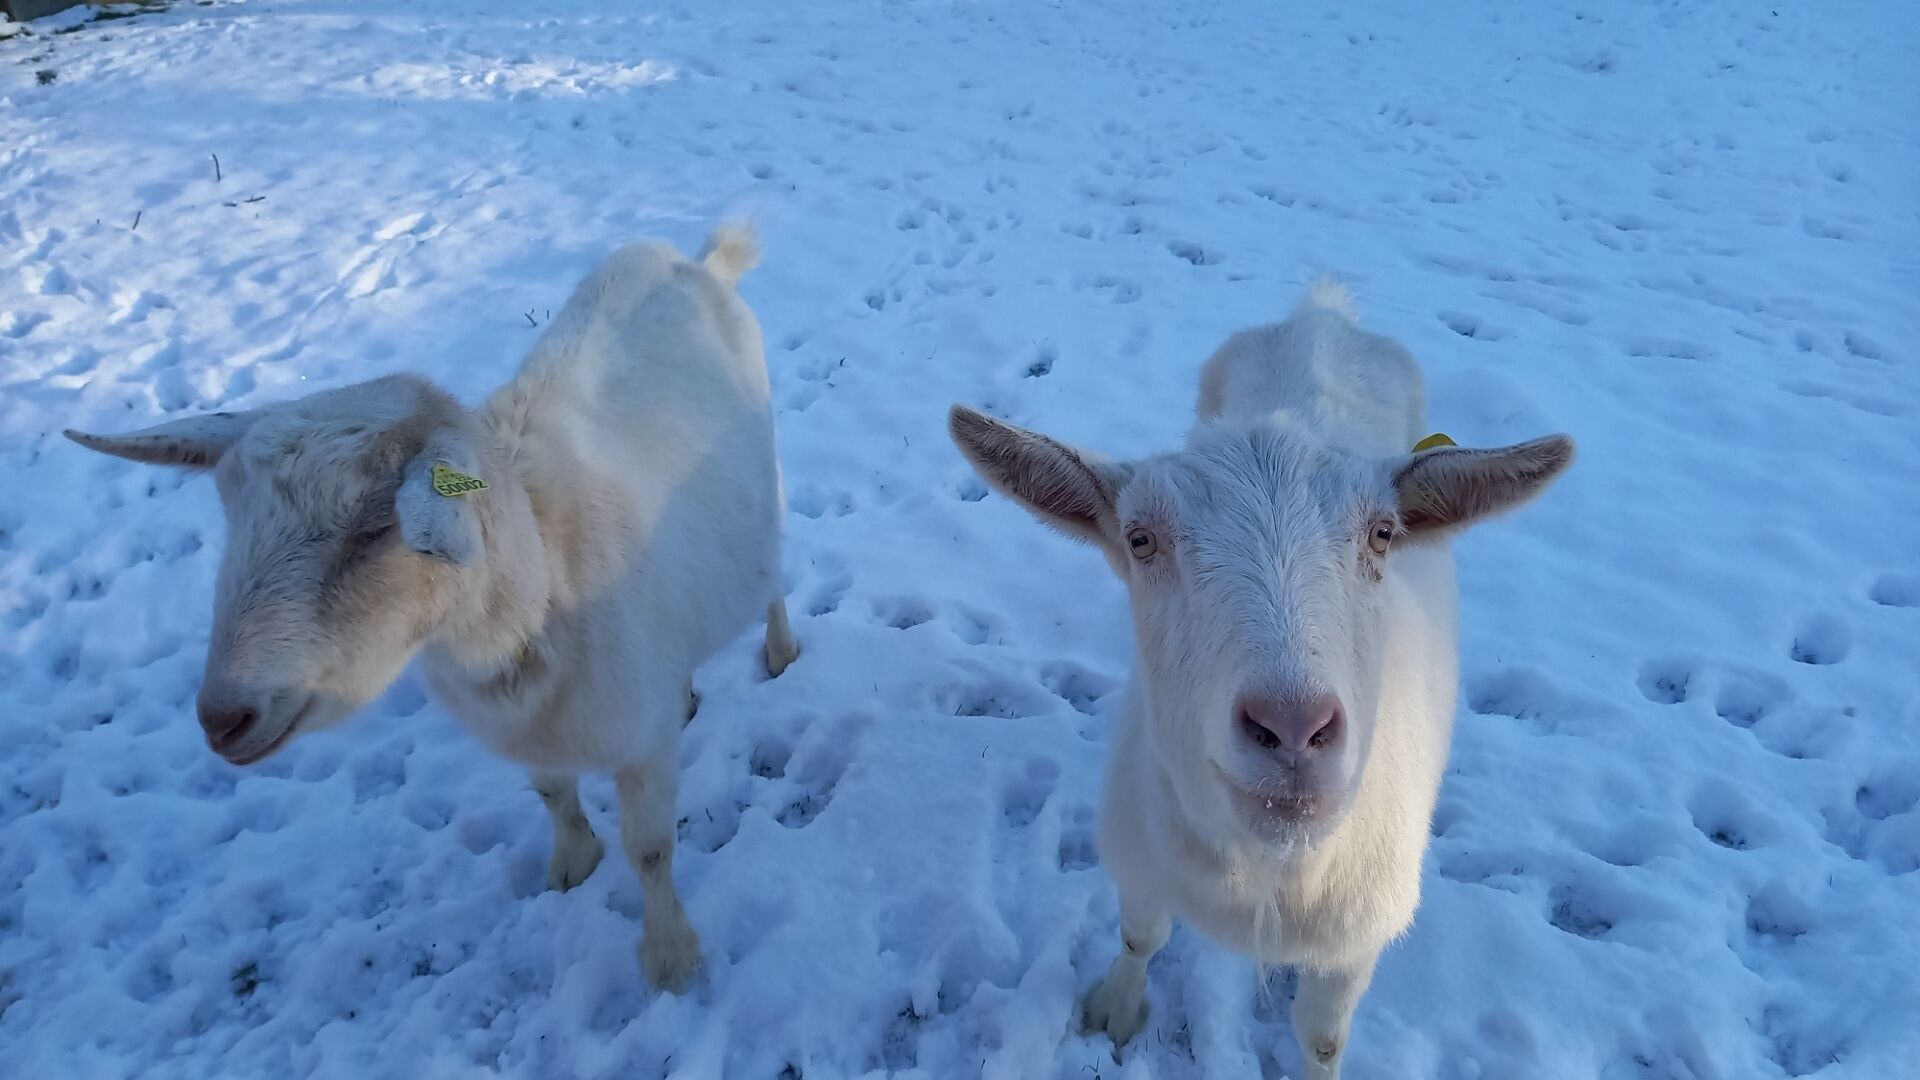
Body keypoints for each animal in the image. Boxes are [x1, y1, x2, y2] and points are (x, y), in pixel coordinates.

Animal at [65, 224, 799, 992]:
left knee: (773, 574)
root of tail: (696, 259)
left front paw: (671, 959)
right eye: (232, 515)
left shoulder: (641, 746)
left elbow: (651, 851)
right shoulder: (529, 735)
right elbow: (552, 795)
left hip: (763, 483)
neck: (547, 580)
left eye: (372, 525)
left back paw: (780, 651)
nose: (222, 717)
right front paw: (572, 864)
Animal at [948, 282, 1573, 1077]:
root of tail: (1322, 316)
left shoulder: (1356, 940)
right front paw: (1114, 1010)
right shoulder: (1139, 854)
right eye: (1140, 540)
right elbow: (1141, 935)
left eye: (1383, 535)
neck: (1270, 873)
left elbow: (1323, 1037)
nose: (1292, 727)